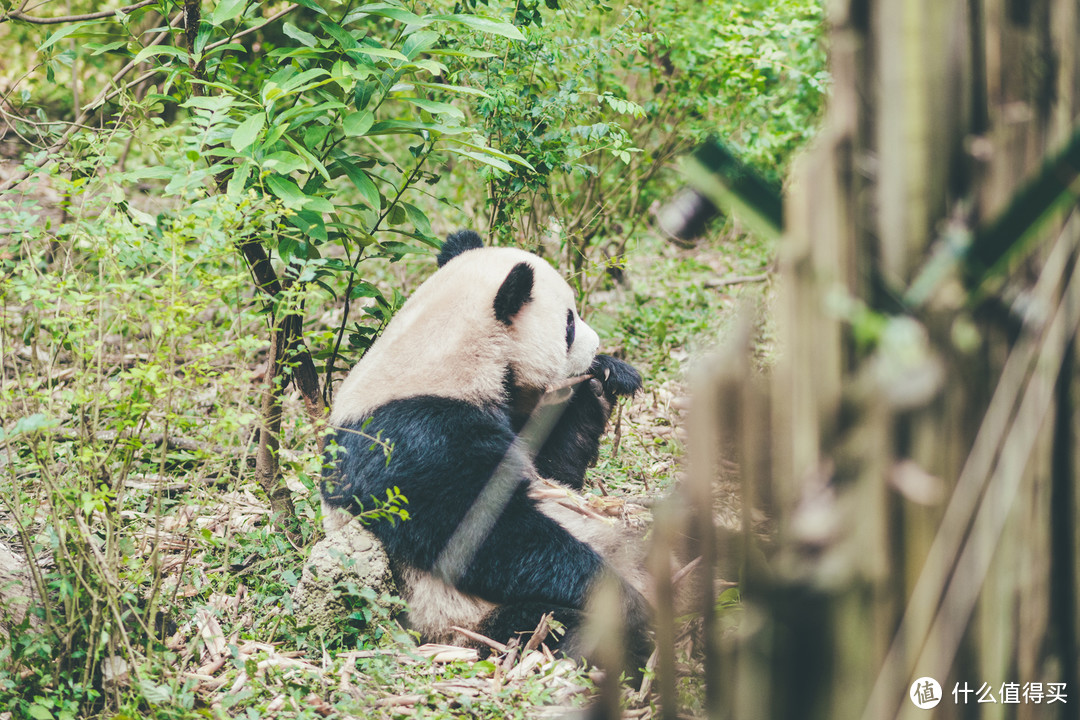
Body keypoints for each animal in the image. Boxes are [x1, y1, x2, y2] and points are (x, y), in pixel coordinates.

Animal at [319, 229, 648, 669]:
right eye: (569, 323)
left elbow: (553, 474)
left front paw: (607, 379)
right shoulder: (416, 438)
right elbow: (482, 533)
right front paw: (624, 598)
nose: (596, 346)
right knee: (551, 623)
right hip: (464, 619)